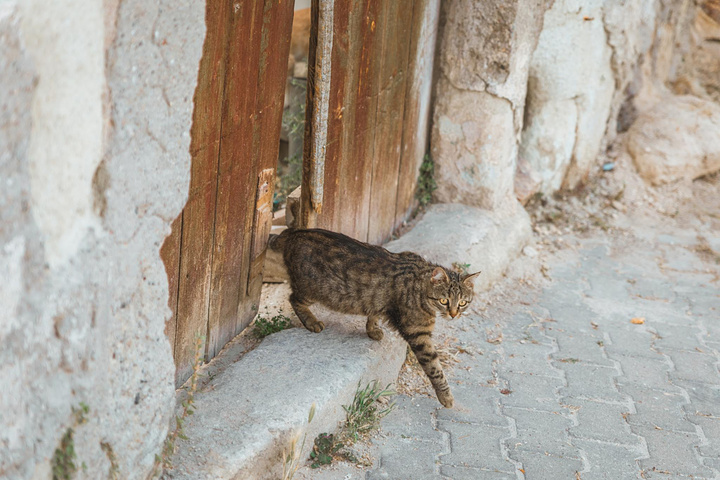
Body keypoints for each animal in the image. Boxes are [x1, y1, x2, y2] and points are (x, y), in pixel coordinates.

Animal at [268, 227, 478, 406]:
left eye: (462, 303)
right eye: (444, 301)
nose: (454, 314)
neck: (419, 283)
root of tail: (294, 232)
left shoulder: (379, 302)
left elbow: (374, 313)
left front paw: (373, 330)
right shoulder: (419, 336)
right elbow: (436, 369)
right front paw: (446, 397)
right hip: (312, 290)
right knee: (293, 299)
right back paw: (311, 322)